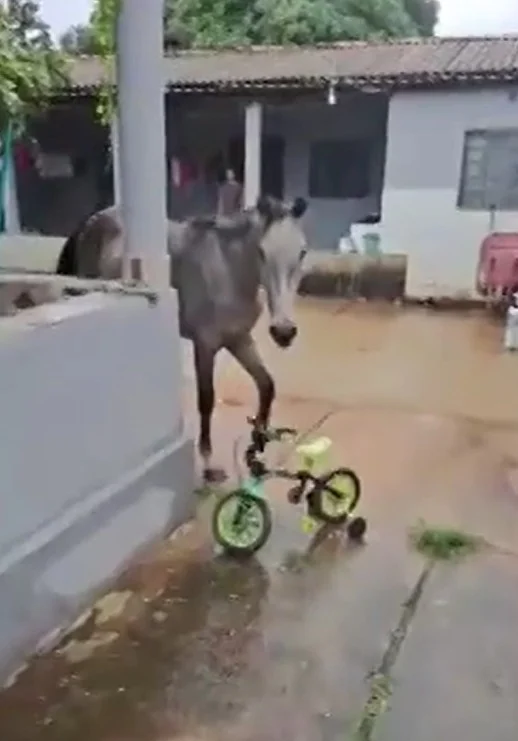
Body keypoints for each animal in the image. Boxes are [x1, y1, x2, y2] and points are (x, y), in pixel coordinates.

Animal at [56, 194, 308, 480]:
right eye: (261, 252)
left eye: (302, 252)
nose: (284, 331)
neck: (228, 271)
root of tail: (93, 220)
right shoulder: (205, 345)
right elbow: (206, 399)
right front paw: (208, 463)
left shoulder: (238, 340)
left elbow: (266, 385)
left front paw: (257, 450)